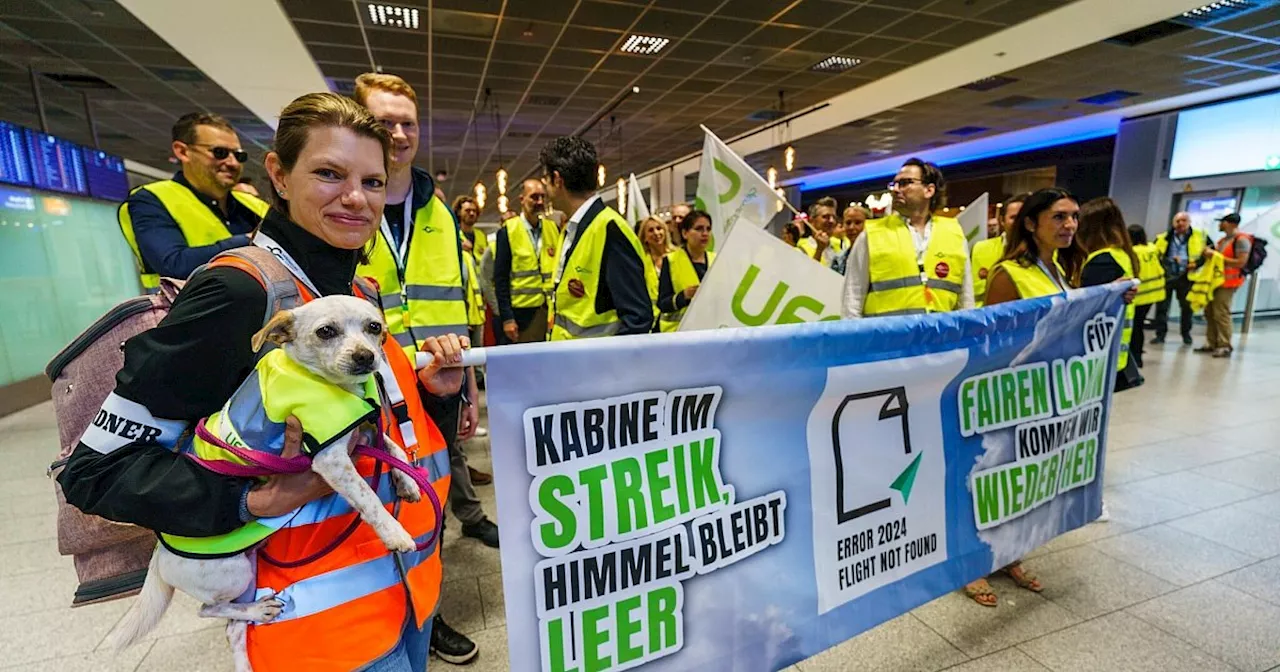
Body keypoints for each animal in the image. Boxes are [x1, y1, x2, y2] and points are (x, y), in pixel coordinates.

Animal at [106, 296, 424, 670]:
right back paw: (257, 610)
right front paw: (395, 533)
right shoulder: (330, 458)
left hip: (248, 567)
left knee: (232, 628)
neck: (329, 384)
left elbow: (391, 446)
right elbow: (368, 497)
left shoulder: (357, 436)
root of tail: (157, 557)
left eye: (374, 327)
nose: (365, 356)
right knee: (207, 609)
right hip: (233, 573)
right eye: (326, 331)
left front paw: (408, 482)